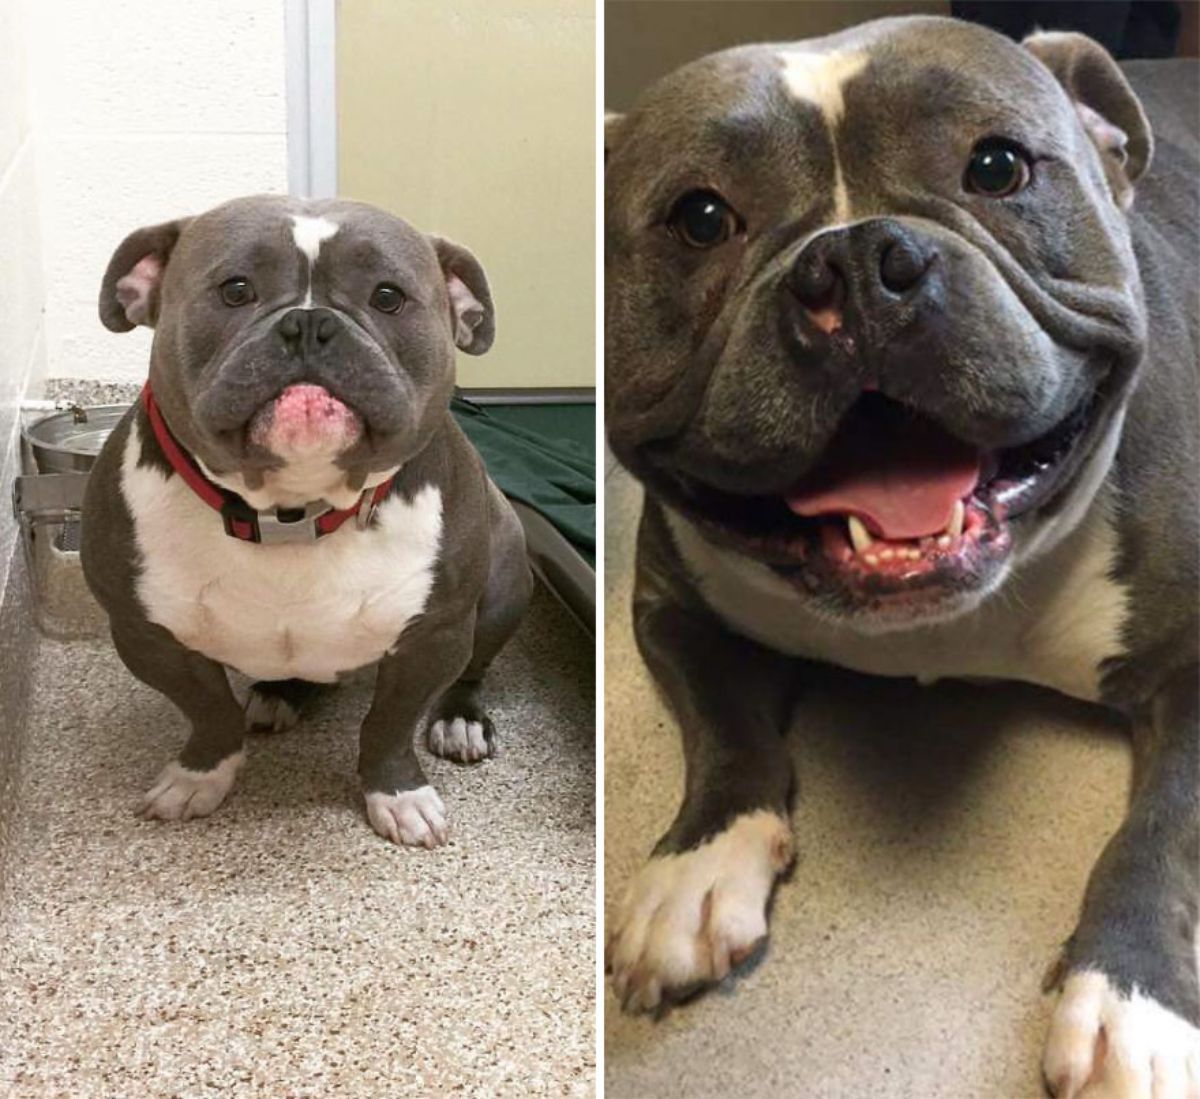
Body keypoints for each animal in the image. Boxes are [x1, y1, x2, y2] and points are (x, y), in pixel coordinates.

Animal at [82, 195, 532, 849]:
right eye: (235, 289)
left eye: (388, 297)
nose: (310, 324)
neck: (290, 509)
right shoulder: (147, 634)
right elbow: (208, 710)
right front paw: (200, 775)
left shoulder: (434, 636)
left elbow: (389, 724)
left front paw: (399, 795)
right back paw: (279, 694)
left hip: (504, 582)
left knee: (473, 670)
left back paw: (459, 720)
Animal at [609, 17, 1200, 1099]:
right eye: (701, 218)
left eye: (998, 166)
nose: (855, 262)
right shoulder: (674, 603)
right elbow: (725, 734)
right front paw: (696, 868)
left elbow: (1159, 831)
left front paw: (1129, 998)